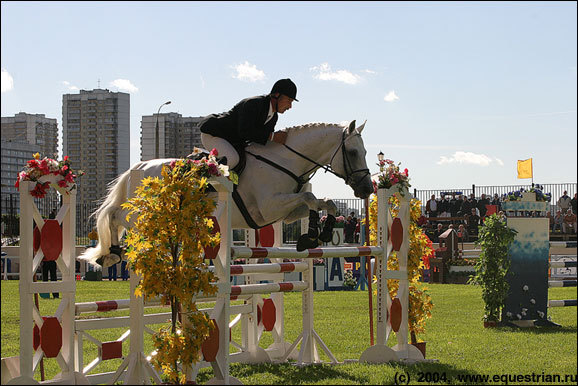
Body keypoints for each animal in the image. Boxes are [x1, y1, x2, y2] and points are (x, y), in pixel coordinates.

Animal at [79, 119, 372, 266]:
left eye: (366, 152)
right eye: (353, 152)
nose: (366, 188)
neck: (285, 161)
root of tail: (137, 167)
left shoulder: (282, 214)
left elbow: (325, 203)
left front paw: (317, 235)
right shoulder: (268, 207)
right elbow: (312, 198)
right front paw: (313, 236)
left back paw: (110, 254)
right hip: (146, 212)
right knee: (117, 217)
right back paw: (111, 253)